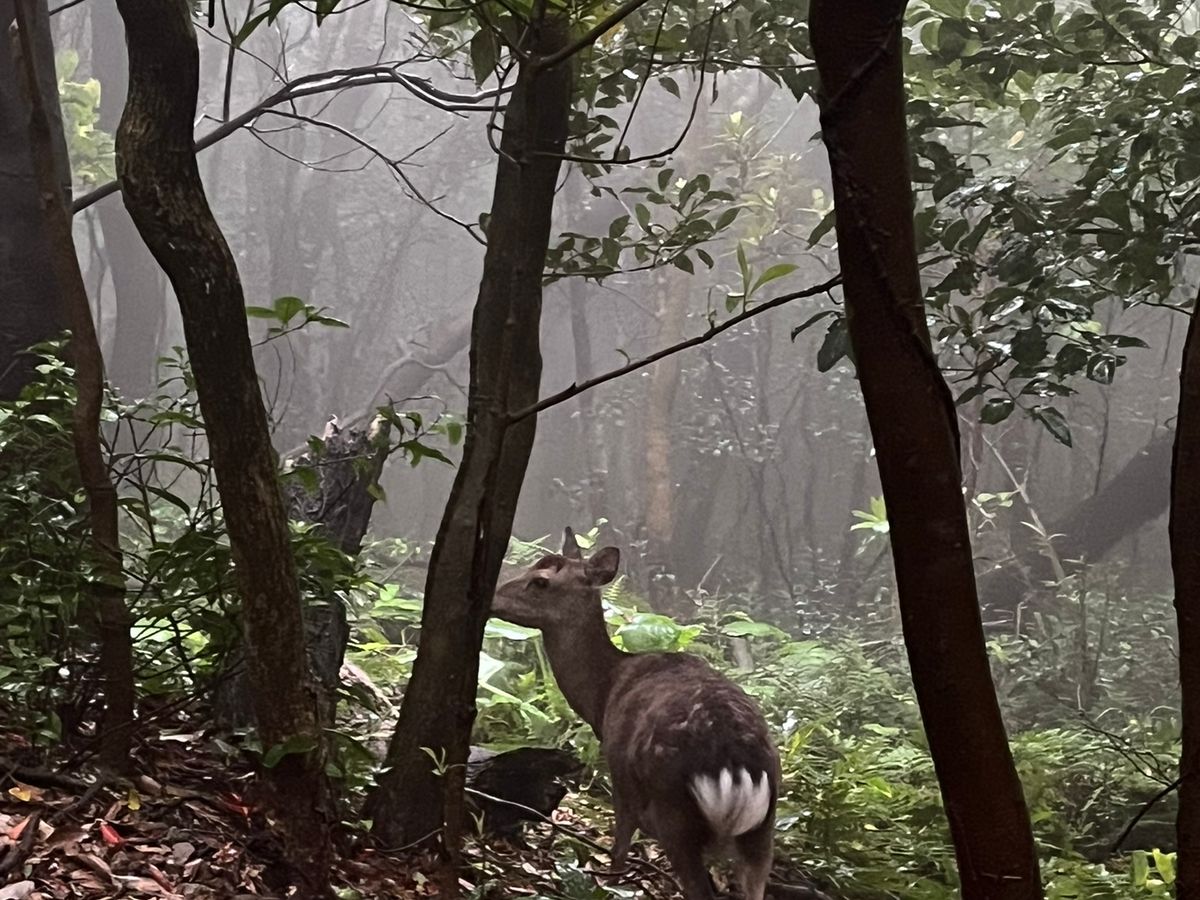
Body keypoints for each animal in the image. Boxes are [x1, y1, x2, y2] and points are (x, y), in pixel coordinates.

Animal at [491, 528, 780, 900]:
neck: (604, 694)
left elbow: (618, 854)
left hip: (674, 812)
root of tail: (737, 766)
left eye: (540, 581)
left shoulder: (619, 774)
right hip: (763, 829)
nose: (492, 598)